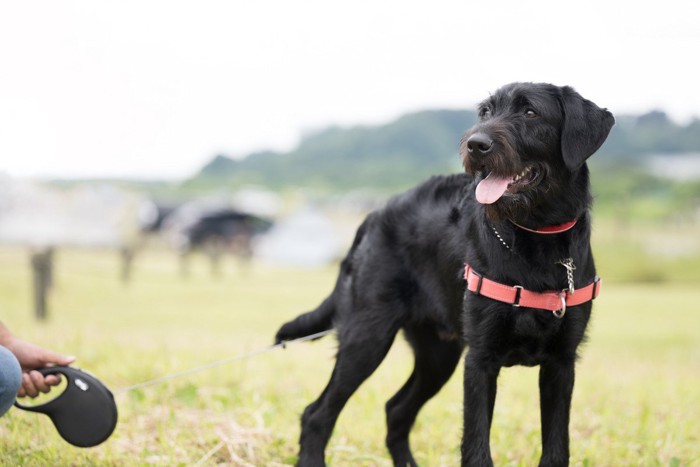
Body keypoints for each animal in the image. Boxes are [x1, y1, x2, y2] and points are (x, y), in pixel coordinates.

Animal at [274, 84, 612, 467]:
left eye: (530, 113)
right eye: (485, 112)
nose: (476, 144)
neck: (536, 237)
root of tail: (374, 215)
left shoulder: (561, 363)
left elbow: (556, 449)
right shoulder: (479, 361)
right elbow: (476, 447)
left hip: (437, 355)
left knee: (396, 409)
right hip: (367, 337)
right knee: (317, 413)